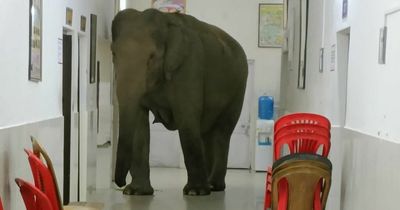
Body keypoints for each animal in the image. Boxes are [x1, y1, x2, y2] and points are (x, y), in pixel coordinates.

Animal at [111, 7, 247, 195]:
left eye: (152, 57)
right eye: (114, 54)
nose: (120, 184)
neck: (166, 22)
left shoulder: (190, 65)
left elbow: (187, 117)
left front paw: (195, 192)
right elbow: (139, 122)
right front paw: (136, 192)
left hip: (238, 88)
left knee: (222, 132)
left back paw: (214, 186)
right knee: (206, 132)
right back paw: (210, 184)